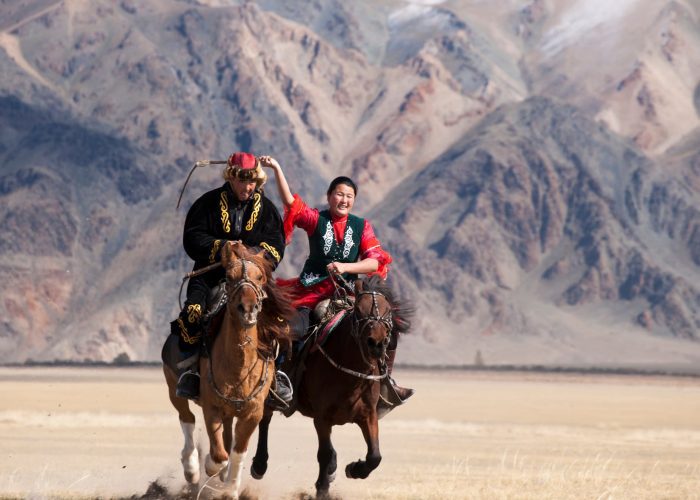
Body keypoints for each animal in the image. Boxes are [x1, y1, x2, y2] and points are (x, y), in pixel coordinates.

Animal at [163, 240, 294, 498]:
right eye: (230, 277)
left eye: (260, 277)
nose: (248, 308)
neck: (238, 365)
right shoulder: (211, 407)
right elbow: (218, 454)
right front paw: (211, 469)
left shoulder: (252, 413)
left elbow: (237, 453)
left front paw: (231, 488)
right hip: (174, 389)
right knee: (187, 418)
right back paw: (192, 469)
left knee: (225, 435)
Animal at [249, 276, 410, 498]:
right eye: (358, 311)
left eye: (388, 313)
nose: (376, 344)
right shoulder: (322, 417)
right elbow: (324, 454)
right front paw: (322, 488)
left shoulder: (368, 415)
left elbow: (374, 456)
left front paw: (354, 469)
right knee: (265, 419)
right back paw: (259, 465)